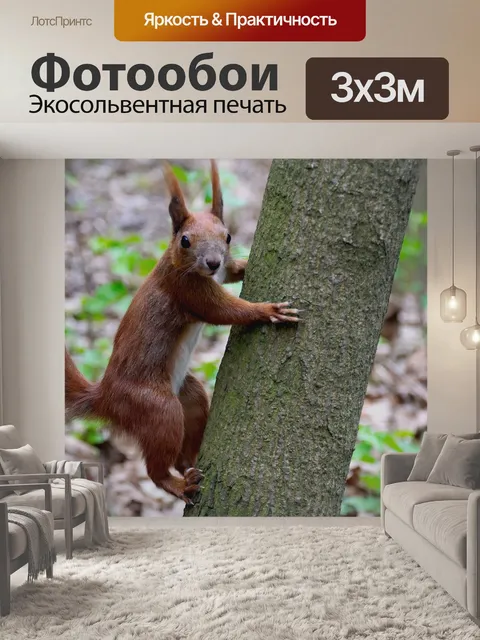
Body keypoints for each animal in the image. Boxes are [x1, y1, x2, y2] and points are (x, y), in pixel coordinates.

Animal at [65, 160, 300, 504]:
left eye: (228, 236)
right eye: (185, 241)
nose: (213, 262)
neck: (176, 262)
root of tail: (104, 397)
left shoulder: (218, 274)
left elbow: (232, 273)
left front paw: (241, 267)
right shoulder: (187, 290)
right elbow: (223, 311)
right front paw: (267, 310)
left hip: (189, 395)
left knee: (183, 445)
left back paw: (190, 463)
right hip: (156, 408)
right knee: (156, 468)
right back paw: (177, 484)